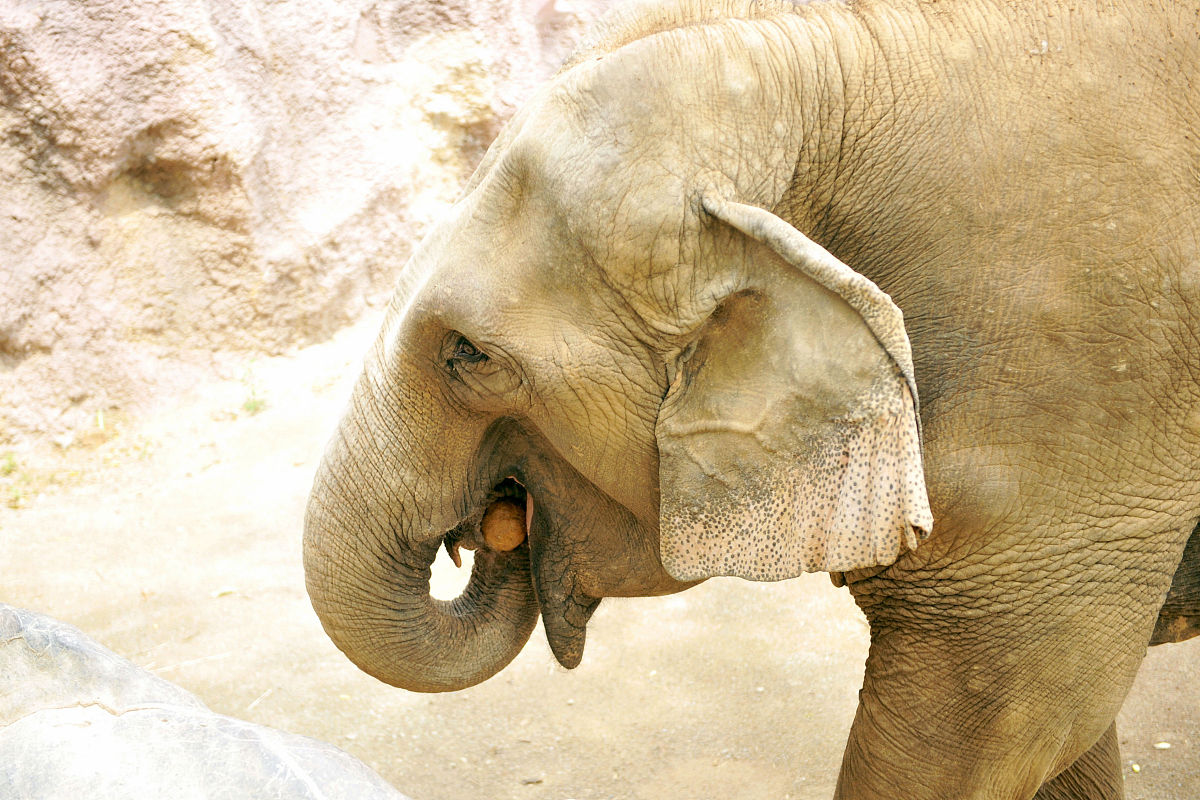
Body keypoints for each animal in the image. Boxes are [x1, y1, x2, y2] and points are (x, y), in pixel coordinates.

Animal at [303, 0, 1200, 797]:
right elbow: (1064, 734)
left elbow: (1010, 713)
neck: (812, 70)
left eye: (469, 355)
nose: (496, 523)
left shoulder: (1080, 386)